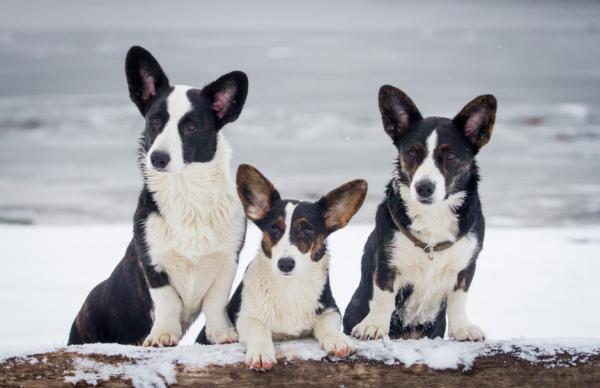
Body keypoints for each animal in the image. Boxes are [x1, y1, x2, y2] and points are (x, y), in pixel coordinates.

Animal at [342, 85, 496, 340]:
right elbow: (383, 297)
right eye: (412, 152)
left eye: (450, 155)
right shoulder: (387, 262)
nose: (424, 187)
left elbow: (459, 298)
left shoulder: (465, 266)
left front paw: (463, 328)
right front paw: (373, 326)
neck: (433, 214)